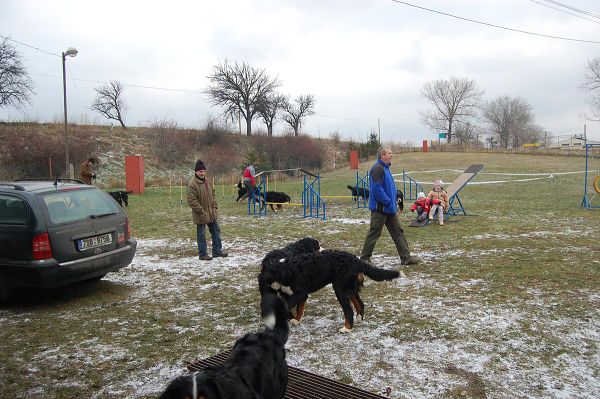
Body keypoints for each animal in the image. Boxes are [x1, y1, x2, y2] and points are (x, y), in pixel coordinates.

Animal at [258, 250, 398, 334]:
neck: (285, 269)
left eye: (264, 270)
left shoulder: (301, 293)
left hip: (340, 289)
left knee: (348, 310)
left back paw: (347, 328)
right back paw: (359, 319)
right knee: (360, 304)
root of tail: (356, 260)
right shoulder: (300, 295)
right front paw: (296, 320)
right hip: (350, 289)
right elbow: (299, 309)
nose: (259, 276)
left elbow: (289, 304)